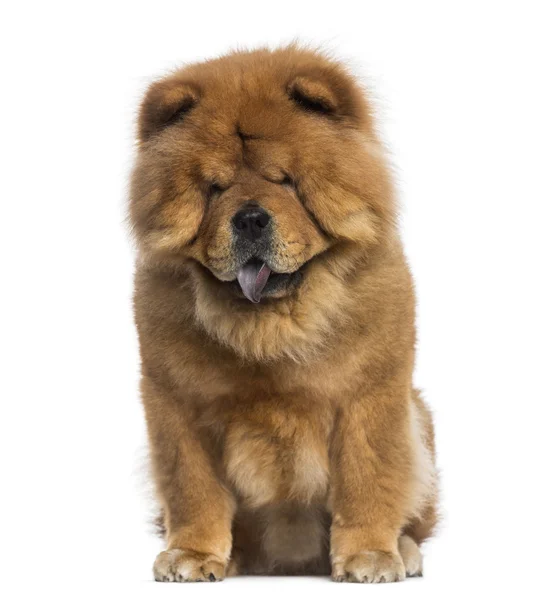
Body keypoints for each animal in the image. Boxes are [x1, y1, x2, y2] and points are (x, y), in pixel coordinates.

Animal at [129, 44, 440, 584]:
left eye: (286, 181)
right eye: (215, 188)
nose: (251, 218)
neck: (270, 329)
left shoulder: (371, 396)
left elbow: (370, 478)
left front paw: (369, 557)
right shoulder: (176, 404)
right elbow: (192, 488)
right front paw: (194, 555)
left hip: (418, 417)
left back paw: (404, 551)